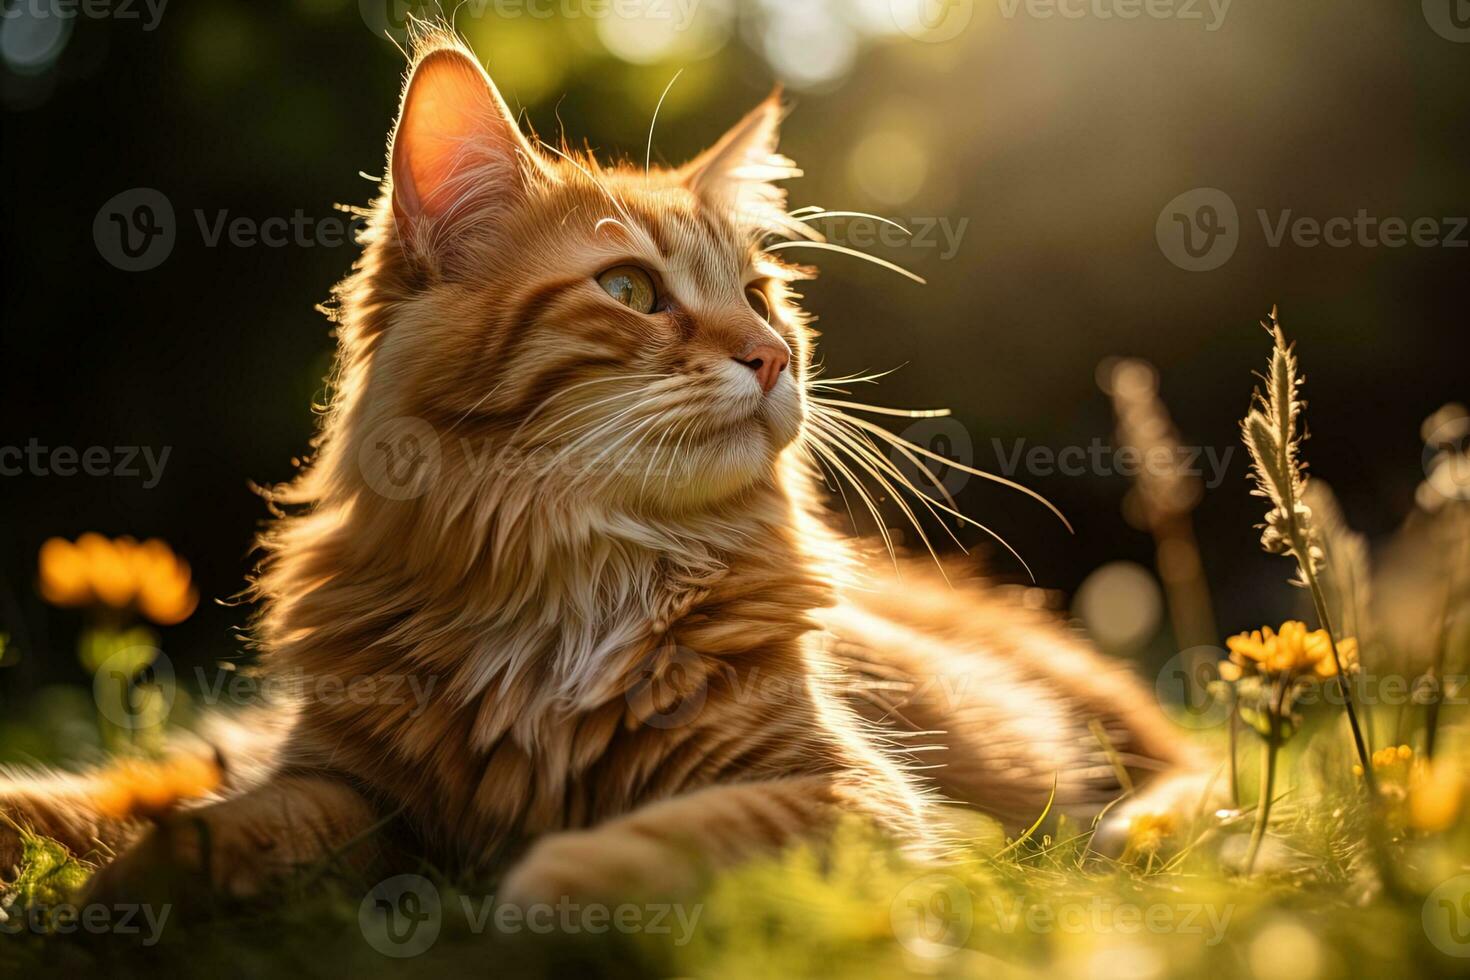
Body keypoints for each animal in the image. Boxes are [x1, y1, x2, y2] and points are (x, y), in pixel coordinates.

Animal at [0, 28, 1199, 905]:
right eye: (630, 291)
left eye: (761, 296)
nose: (771, 357)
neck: (570, 575)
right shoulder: (345, 779)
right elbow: (236, 824)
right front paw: (124, 892)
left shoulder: (851, 791)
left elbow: (686, 831)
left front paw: (546, 884)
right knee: (155, 778)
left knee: (1190, 780)